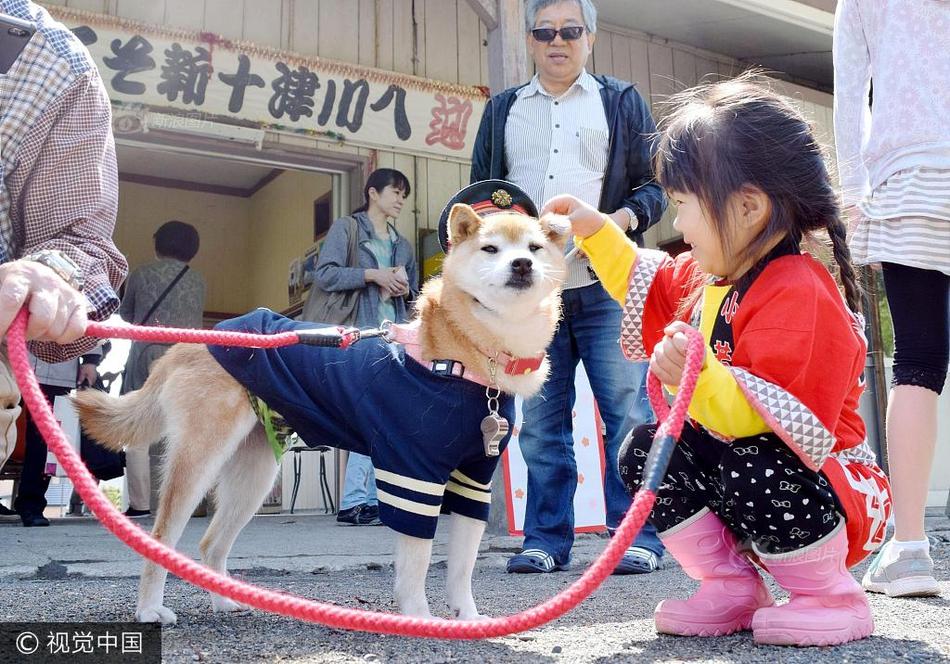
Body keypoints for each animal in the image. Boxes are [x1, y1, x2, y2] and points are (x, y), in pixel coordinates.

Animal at [76, 182, 564, 624]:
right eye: (490, 248)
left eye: (535, 248)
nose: (522, 264)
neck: (467, 362)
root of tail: (189, 341)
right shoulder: (412, 474)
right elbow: (417, 565)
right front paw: (421, 619)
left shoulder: (472, 482)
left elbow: (461, 569)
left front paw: (470, 620)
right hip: (201, 456)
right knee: (163, 536)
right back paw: (149, 609)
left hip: (255, 473)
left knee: (210, 543)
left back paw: (225, 602)